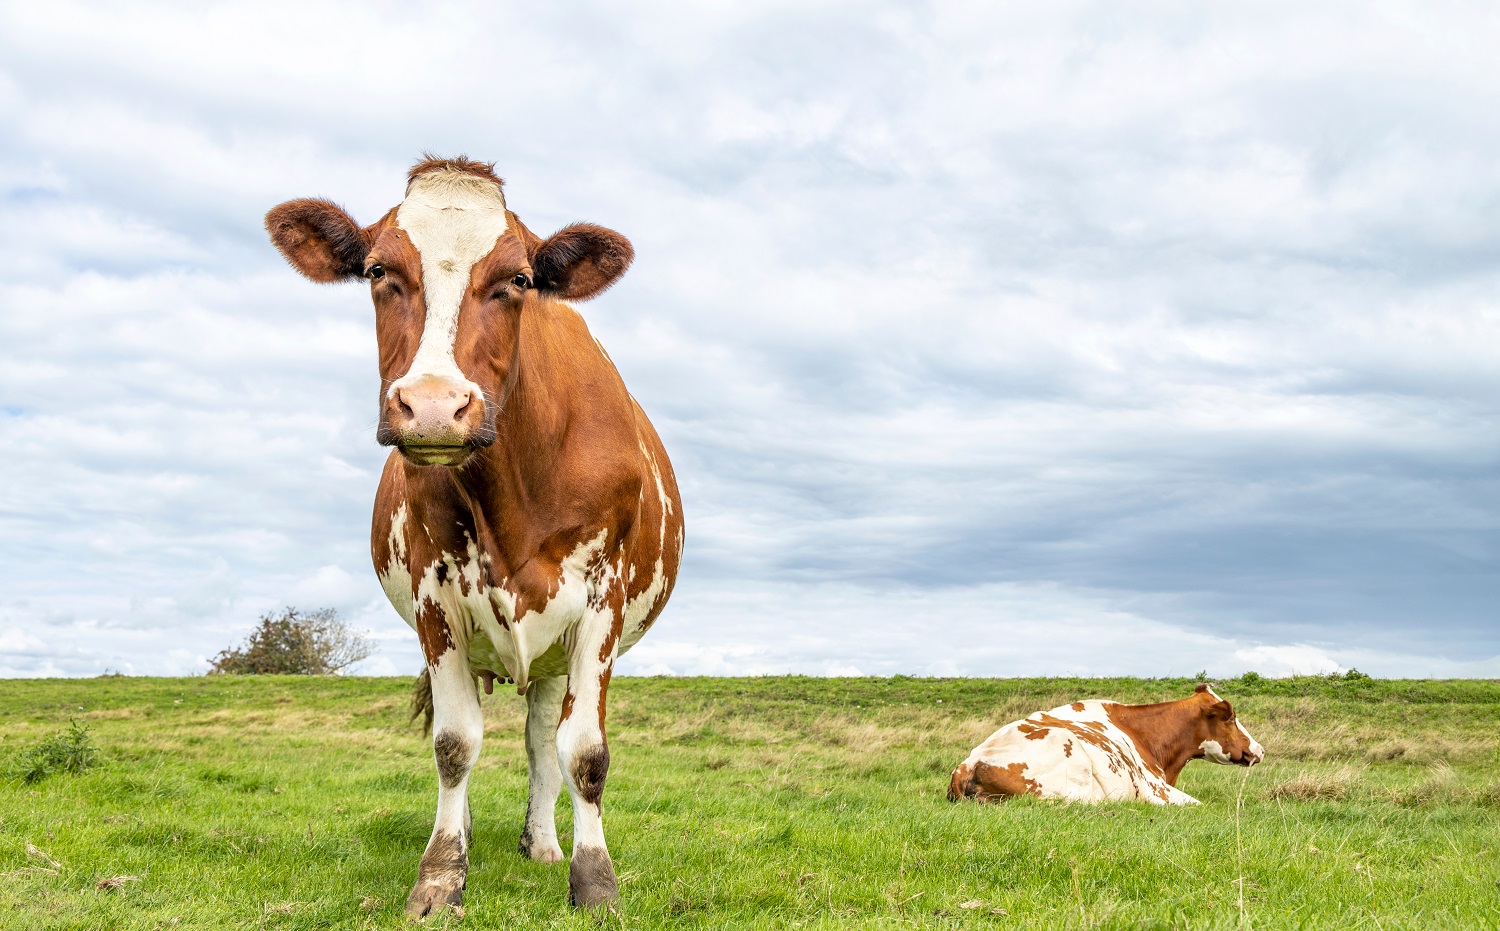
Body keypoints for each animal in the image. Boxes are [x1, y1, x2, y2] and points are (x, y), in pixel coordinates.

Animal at [265, 155, 687, 911]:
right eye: (377, 270)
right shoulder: (436, 603)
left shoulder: (602, 604)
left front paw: (594, 878)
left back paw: (542, 843)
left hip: (555, 655)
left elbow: (584, 751)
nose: (434, 406)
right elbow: (454, 743)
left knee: (542, 737)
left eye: (517, 279)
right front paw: (441, 873)